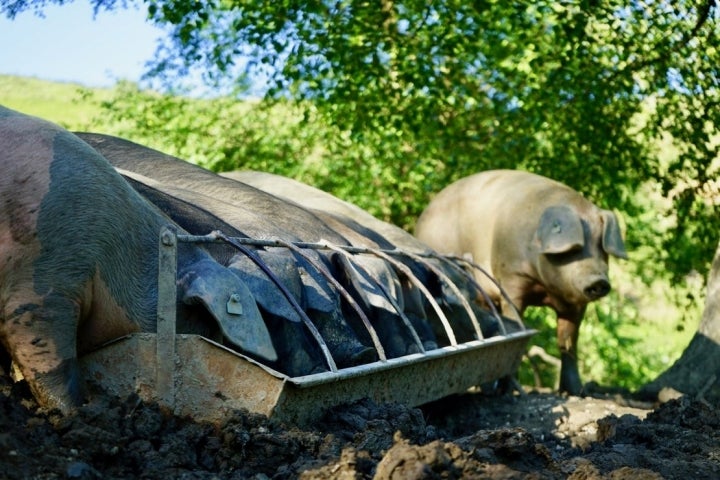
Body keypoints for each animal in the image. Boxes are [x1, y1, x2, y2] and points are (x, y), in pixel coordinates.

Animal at [414, 169, 628, 394]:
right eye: (574, 249)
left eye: (601, 248)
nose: (599, 281)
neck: (546, 289)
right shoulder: (511, 277)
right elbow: (516, 322)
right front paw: (510, 391)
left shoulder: (575, 303)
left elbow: (567, 341)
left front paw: (575, 392)